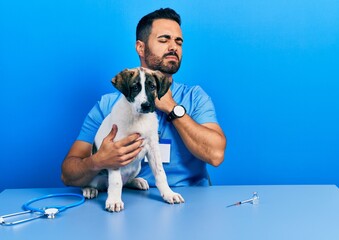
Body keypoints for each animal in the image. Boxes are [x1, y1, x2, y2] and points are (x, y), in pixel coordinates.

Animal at [82, 66, 186, 211]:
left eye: (152, 87)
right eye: (135, 87)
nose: (146, 105)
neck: (138, 118)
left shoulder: (153, 146)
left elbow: (160, 173)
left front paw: (169, 194)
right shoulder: (115, 150)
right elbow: (116, 181)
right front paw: (114, 201)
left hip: (136, 167)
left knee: (125, 181)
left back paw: (137, 181)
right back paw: (89, 189)